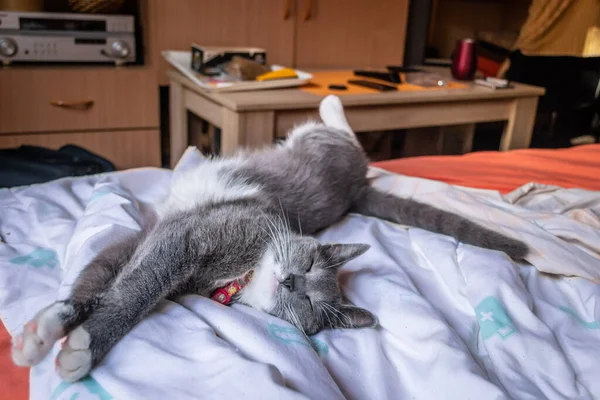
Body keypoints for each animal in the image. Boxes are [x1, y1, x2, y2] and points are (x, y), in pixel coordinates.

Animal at [9, 94, 524, 382]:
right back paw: (331, 99)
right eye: (311, 266)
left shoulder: (163, 241)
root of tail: (357, 186)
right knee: (343, 131)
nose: (292, 282)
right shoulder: (179, 236)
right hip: (321, 146)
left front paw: (76, 344)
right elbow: (115, 282)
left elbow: (123, 284)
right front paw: (52, 329)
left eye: (312, 303)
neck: (243, 271)